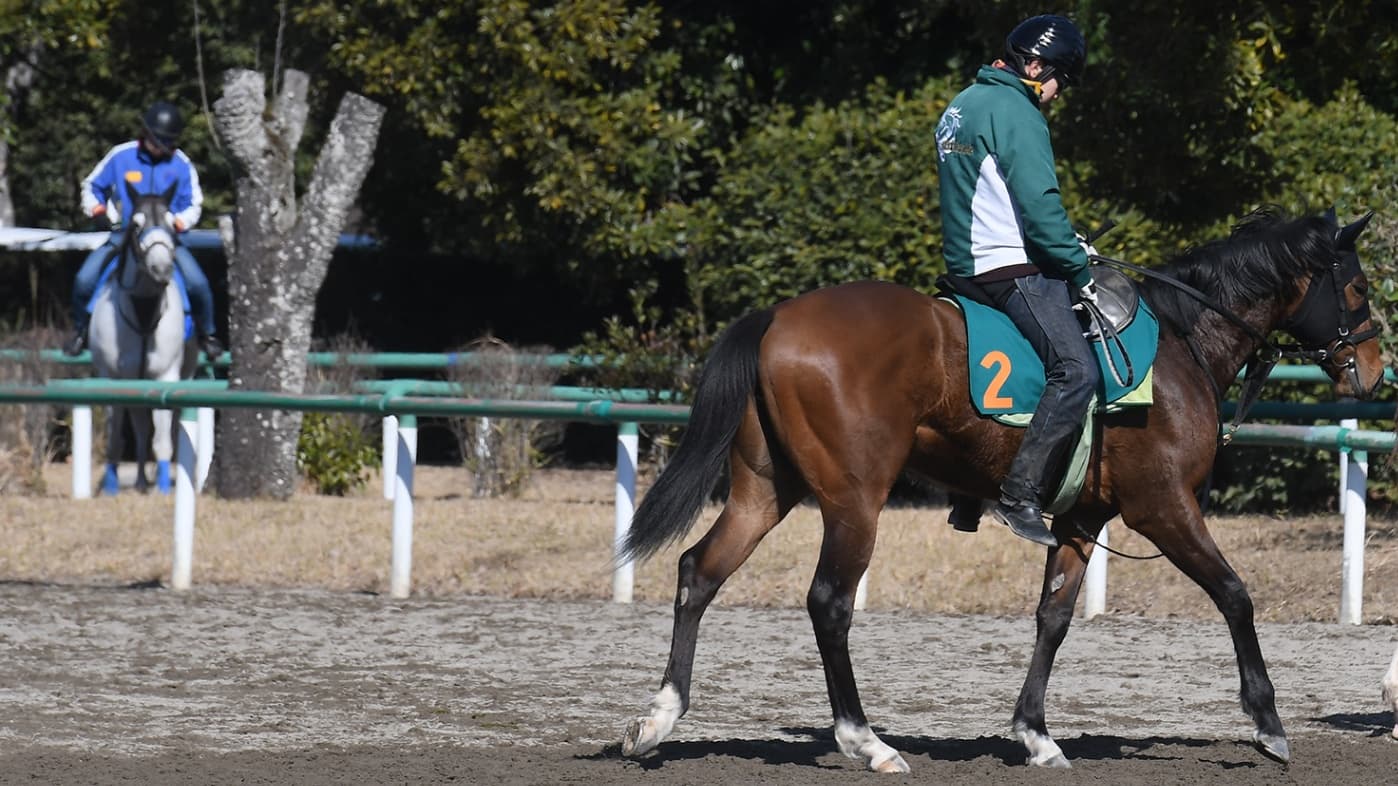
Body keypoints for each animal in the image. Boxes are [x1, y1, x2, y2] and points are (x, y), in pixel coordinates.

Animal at [86, 182, 198, 495]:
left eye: (172, 223)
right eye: (136, 224)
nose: (161, 268)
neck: (144, 311)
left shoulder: (165, 377)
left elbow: (162, 440)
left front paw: (162, 487)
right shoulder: (112, 379)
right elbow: (116, 437)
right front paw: (112, 486)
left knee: (166, 426)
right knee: (139, 426)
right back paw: (138, 480)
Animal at [617, 208, 1386, 771]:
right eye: (1357, 288)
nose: (1375, 369)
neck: (1178, 344)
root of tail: (777, 316)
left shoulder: (1082, 520)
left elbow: (1053, 618)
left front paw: (1036, 733)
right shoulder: (1164, 507)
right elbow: (1234, 594)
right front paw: (1267, 721)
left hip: (763, 492)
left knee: (699, 571)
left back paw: (658, 719)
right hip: (853, 502)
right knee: (829, 603)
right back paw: (866, 741)